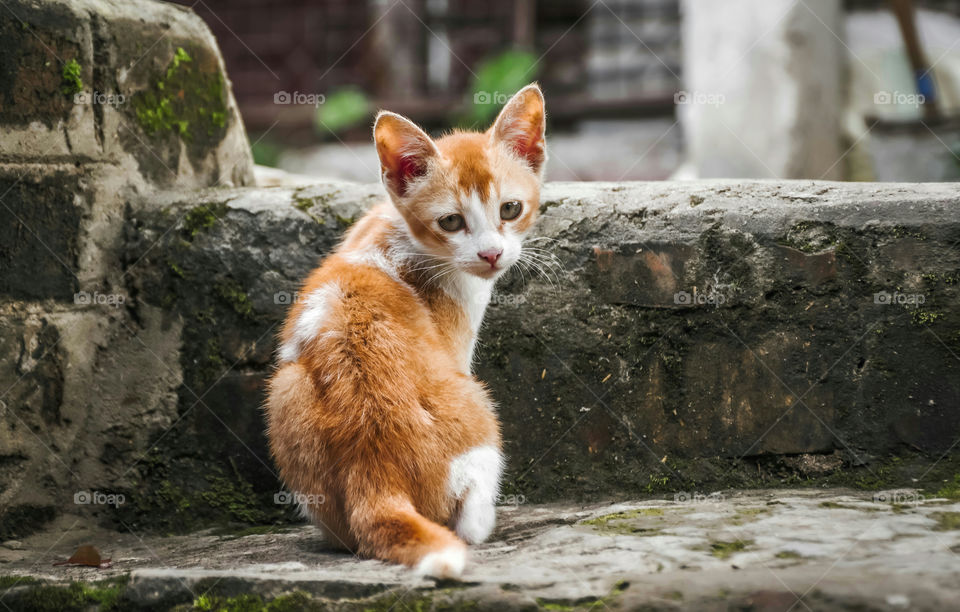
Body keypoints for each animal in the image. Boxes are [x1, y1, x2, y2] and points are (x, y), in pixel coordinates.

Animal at [266, 83, 544, 576]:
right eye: (451, 221)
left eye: (510, 209)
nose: (491, 254)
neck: (403, 236)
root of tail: (374, 470)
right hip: (477, 412)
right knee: (469, 520)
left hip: (285, 388)